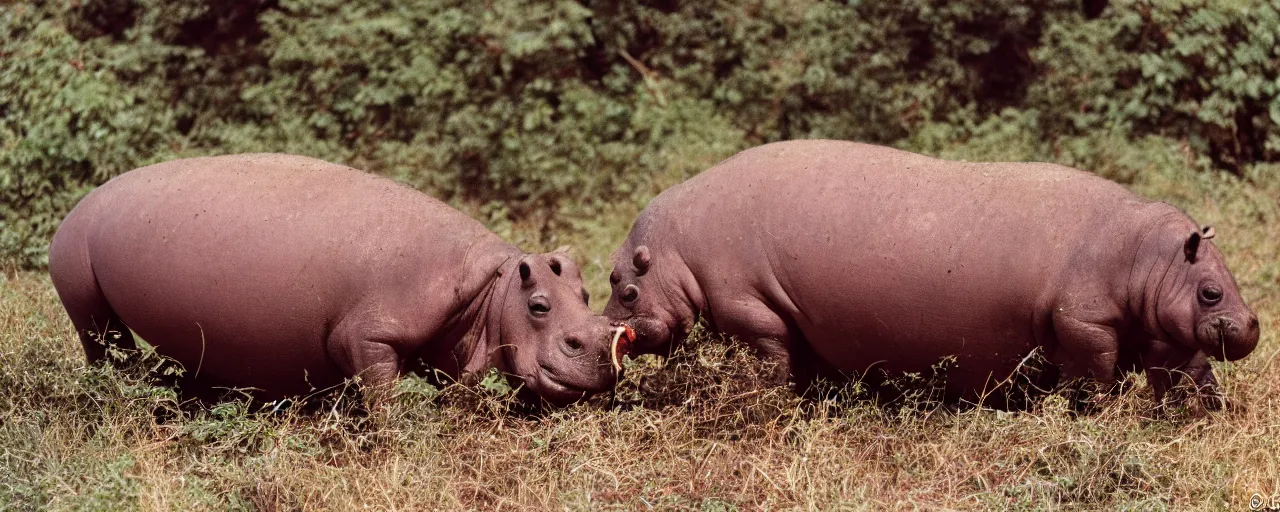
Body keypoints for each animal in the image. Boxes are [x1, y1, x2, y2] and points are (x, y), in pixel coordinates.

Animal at [49, 154, 624, 407]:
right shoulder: (365, 336)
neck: (497, 288)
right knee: (102, 340)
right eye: (539, 306)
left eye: (587, 293)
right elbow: (386, 402)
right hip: (77, 269)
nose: (602, 348)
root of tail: (76, 206)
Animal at [606, 138, 1259, 407]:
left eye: (622, 285)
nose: (1252, 324)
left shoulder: (1152, 329)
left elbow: (1186, 375)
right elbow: (1104, 379)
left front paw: (1204, 415)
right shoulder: (1091, 326)